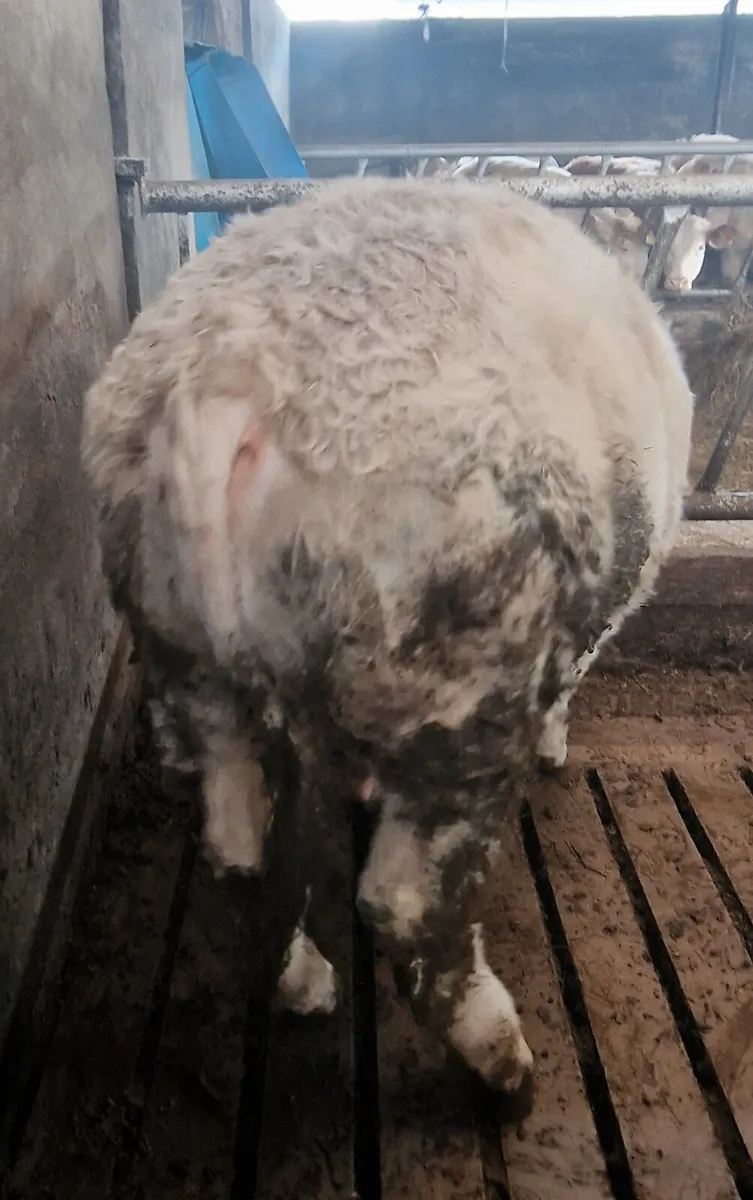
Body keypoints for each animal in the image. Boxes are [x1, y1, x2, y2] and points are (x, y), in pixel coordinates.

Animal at [82, 176, 693, 1108]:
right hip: (461, 668)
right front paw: (557, 745)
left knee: (235, 850)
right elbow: (574, 680)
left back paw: (305, 984)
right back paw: (500, 1059)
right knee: (405, 905)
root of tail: (223, 382)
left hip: (183, 647)